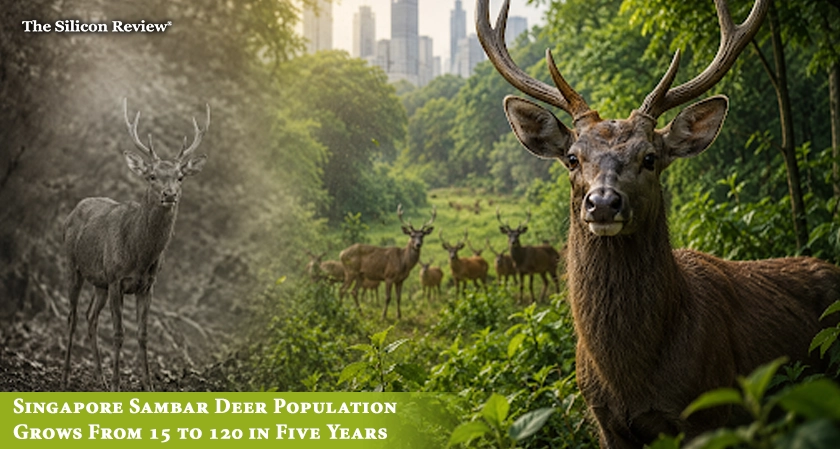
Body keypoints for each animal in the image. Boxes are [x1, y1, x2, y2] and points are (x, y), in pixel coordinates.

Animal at [61, 98, 210, 391]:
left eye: (180, 177)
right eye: (152, 176)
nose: (169, 194)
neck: (139, 255)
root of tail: (76, 208)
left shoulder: (147, 285)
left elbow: (143, 335)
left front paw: (148, 384)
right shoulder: (117, 278)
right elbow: (119, 334)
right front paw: (117, 384)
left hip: (99, 282)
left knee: (90, 317)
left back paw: (99, 378)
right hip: (73, 264)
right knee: (72, 317)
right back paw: (65, 378)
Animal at [478, 0, 840, 446]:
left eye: (649, 157)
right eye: (573, 158)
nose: (603, 203)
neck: (631, 381)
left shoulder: (708, 411)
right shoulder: (604, 420)